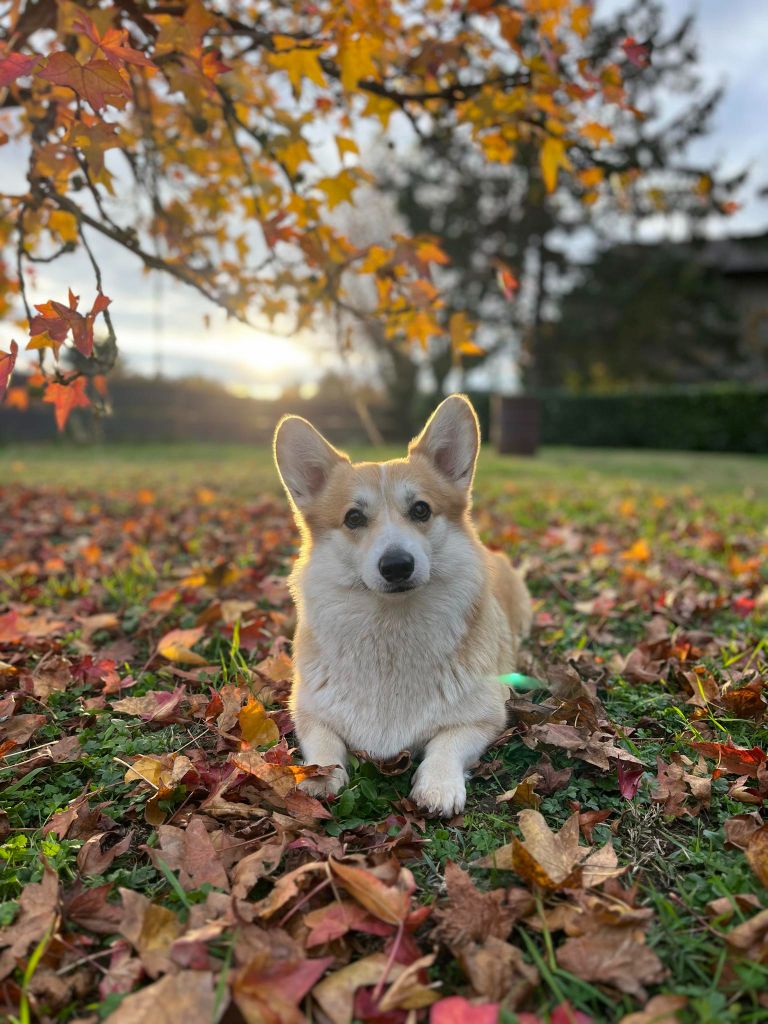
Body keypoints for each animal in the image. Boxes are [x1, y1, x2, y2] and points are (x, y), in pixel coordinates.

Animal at [274, 391, 532, 815]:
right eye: (354, 518)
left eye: (421, 509)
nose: (396, 565)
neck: (391, 626)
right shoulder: (308, 711)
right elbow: (325, 742)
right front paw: (319, 776)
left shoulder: (485, 717)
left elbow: (447, 743)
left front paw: (438, 786)